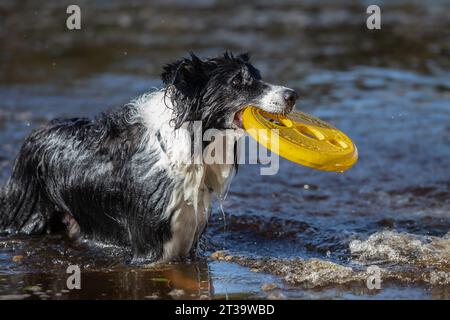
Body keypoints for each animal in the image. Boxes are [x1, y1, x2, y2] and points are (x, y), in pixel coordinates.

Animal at [0, 52, 298, 262]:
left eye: (258, 77)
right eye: (237, 82)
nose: (293, 95)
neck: (193, 145)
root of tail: (36, 132)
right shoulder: (150, 244)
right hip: (27, 214)